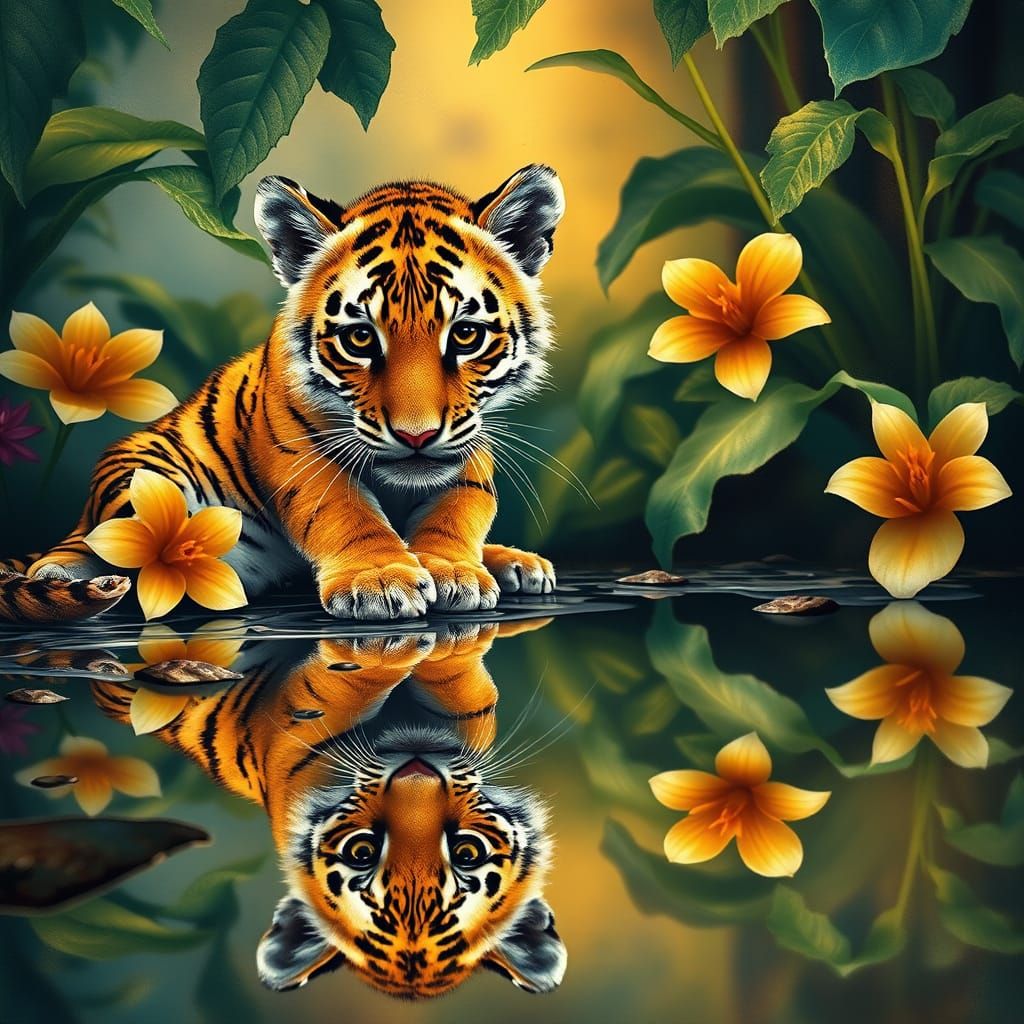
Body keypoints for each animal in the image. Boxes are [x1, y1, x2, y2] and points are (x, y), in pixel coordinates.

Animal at [0, 165, 564, 624]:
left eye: (465, 335)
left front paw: (452, 570)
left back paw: (518, 563)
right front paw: (382, 579)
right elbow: (345, 511)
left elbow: (458, 509)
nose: (416, 436)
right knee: (99, 543)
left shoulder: (471, 444)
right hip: (142, 474)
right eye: (360, 339)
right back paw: (71, 574)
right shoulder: (301, 454)